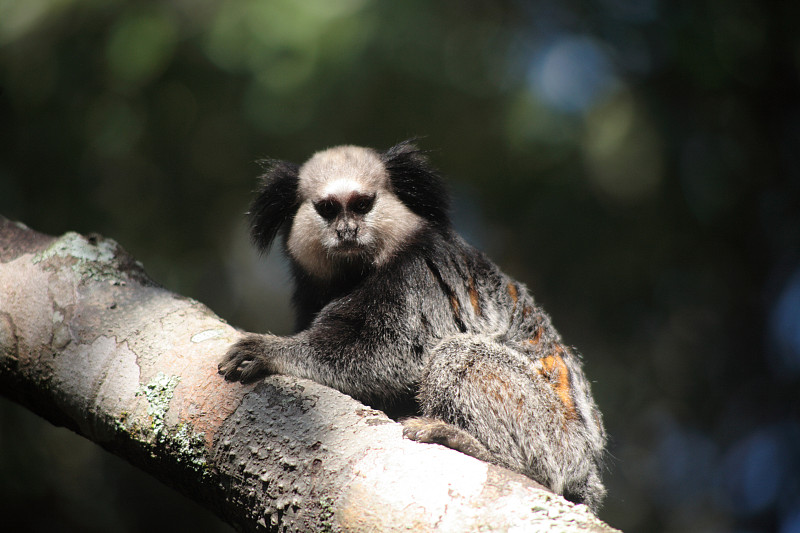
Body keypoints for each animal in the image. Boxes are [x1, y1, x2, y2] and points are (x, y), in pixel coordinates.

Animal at [219, 139, 608, 510]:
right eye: (328, 209)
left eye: (362, 205)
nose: (347, 231)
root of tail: (587, 466)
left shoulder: (414, 275)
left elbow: (389, 356)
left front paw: (270, 351)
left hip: (553, 435)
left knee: (459, 354)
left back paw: (478, 448)